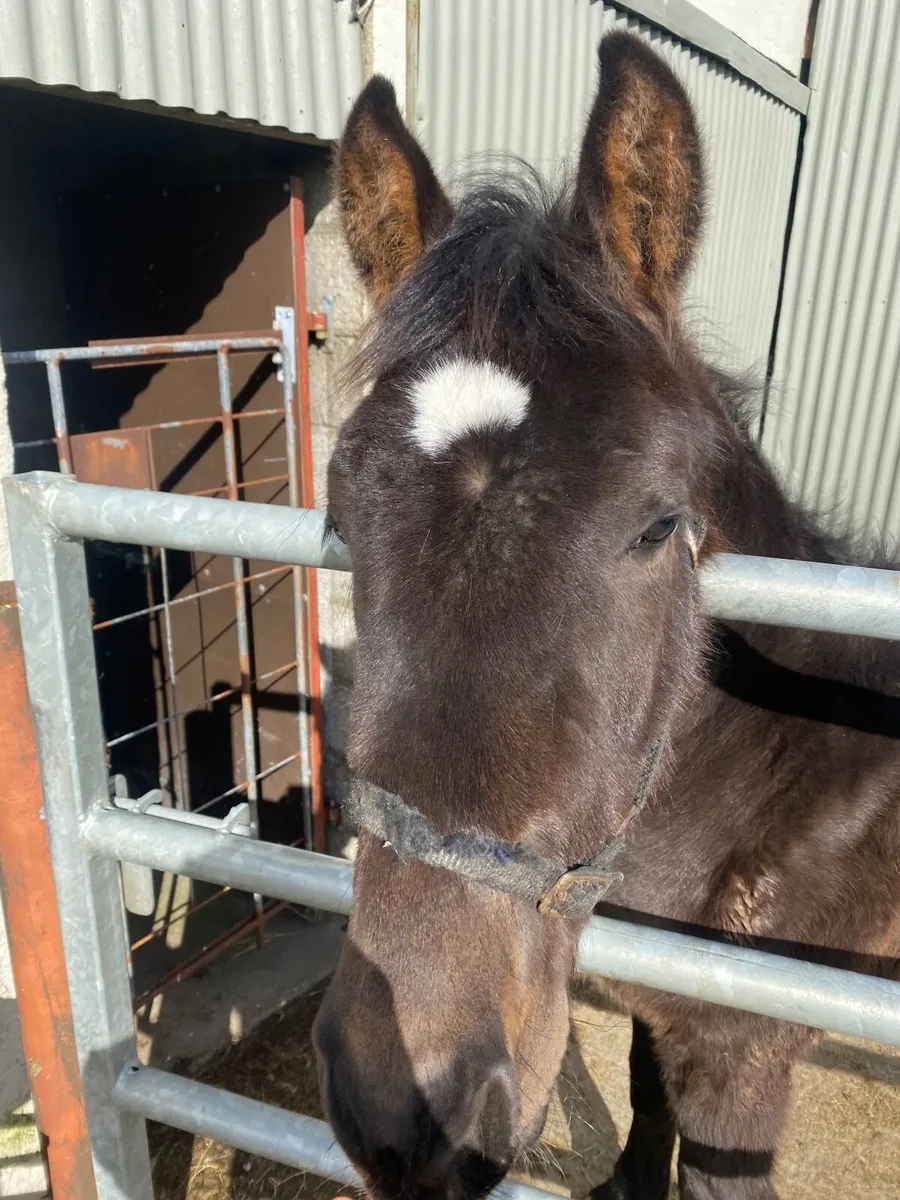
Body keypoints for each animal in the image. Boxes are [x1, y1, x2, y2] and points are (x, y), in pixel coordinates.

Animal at [312, 30, 900, 1200]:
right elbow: (640, 1096)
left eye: (657, 526)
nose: (407, 1108)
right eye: (343, 517)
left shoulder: (739, 1070)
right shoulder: (655, 1015)